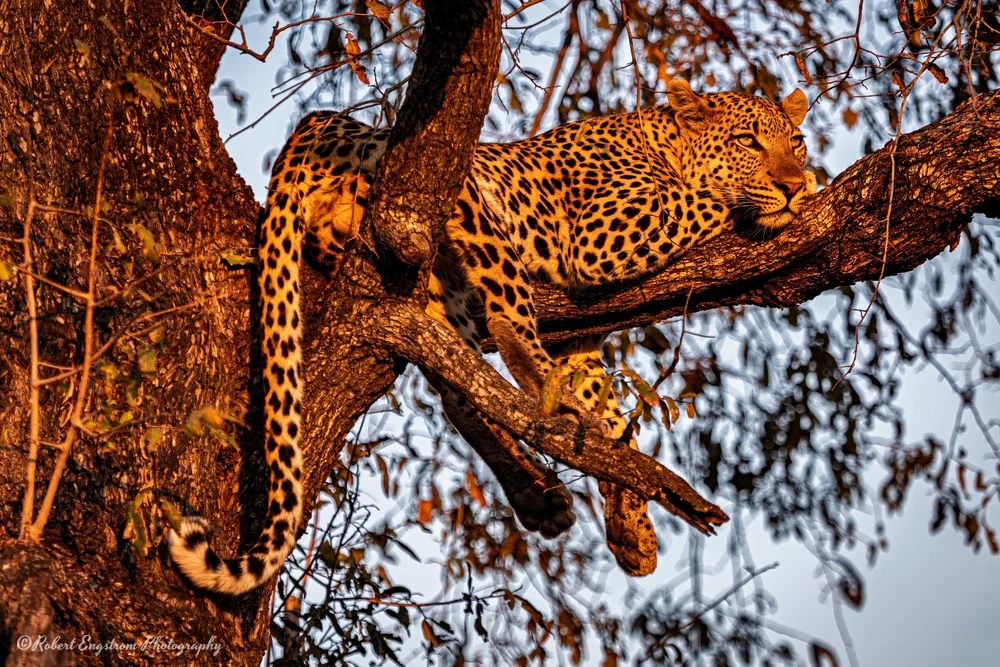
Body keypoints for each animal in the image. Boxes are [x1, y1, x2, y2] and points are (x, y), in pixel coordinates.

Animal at [167, 79, 815, 594]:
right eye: (749, 142)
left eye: (797, 139)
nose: (790, 180)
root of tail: (309, 135)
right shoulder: (604, 235)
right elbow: (703, 199)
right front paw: (802, 191)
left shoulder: (576, 345)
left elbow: (611, 419)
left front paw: (631, 525)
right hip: (451, 192)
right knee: (503, 328)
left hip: (436, 292)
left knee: (461, 392)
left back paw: (538, 492)